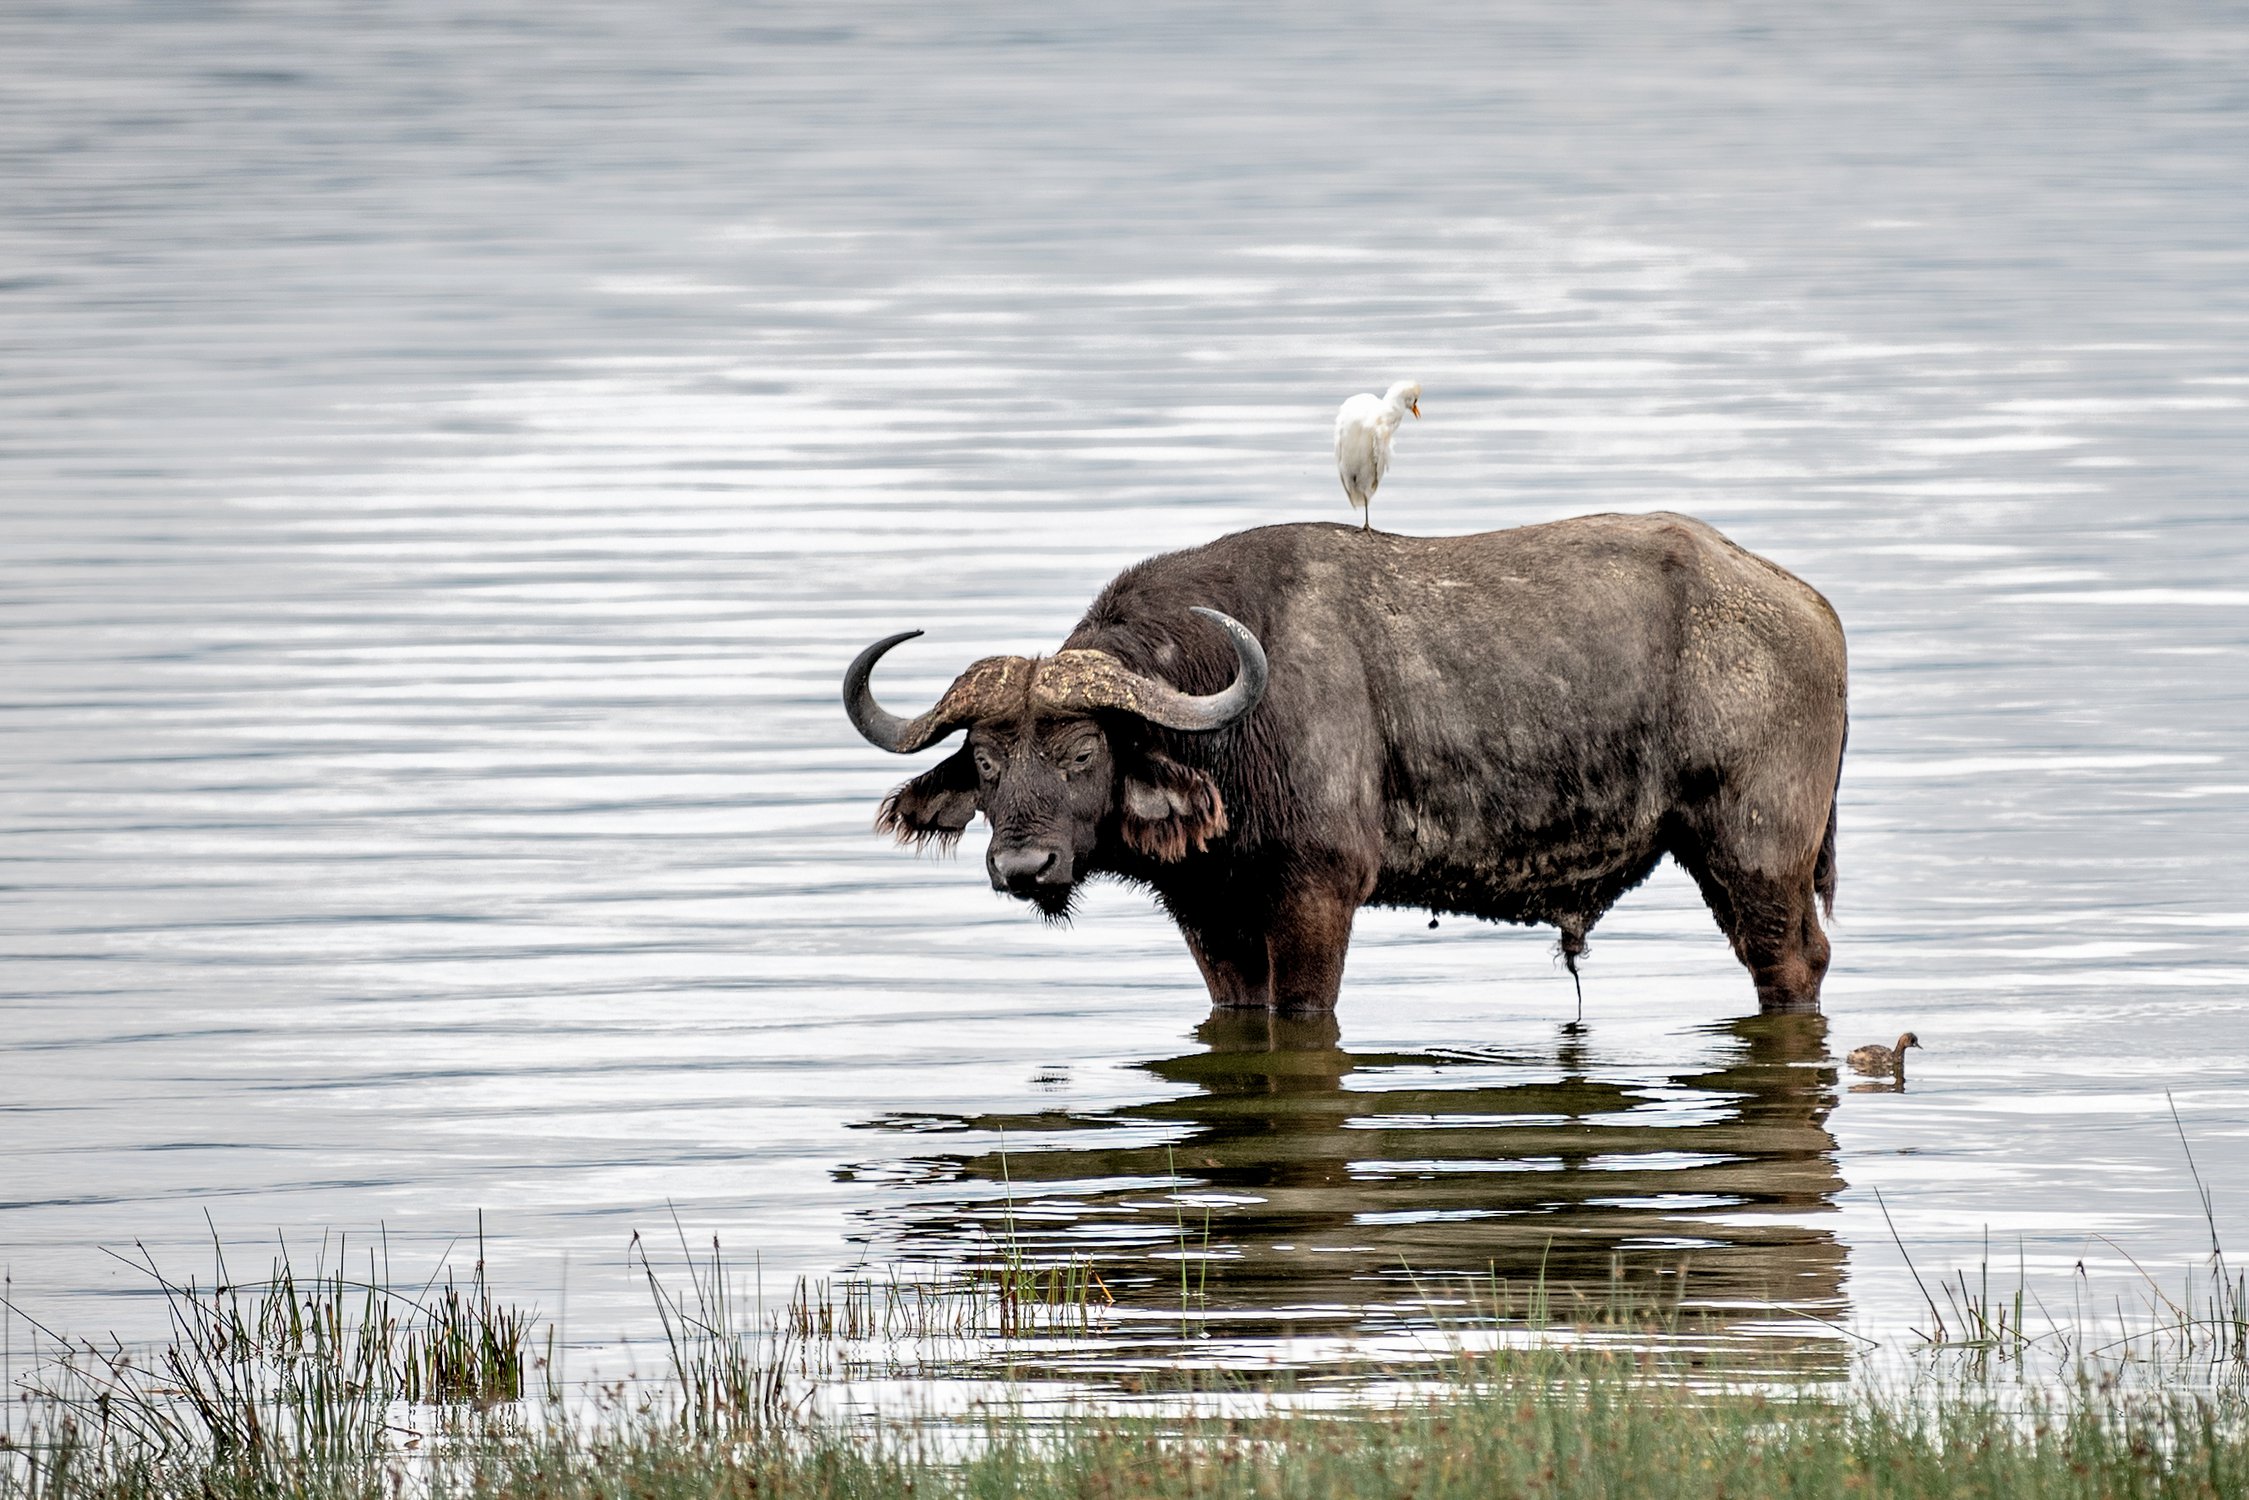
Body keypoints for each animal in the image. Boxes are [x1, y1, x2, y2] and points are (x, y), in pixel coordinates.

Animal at [845, 517, 1844, 1020]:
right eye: (985, 762)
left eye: (1083, 750)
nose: (1024, 867)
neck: (1228, 715)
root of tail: (1808, 606)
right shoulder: (1210, 914)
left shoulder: (1317, 894)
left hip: (1755, 858)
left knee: (1789, 963)